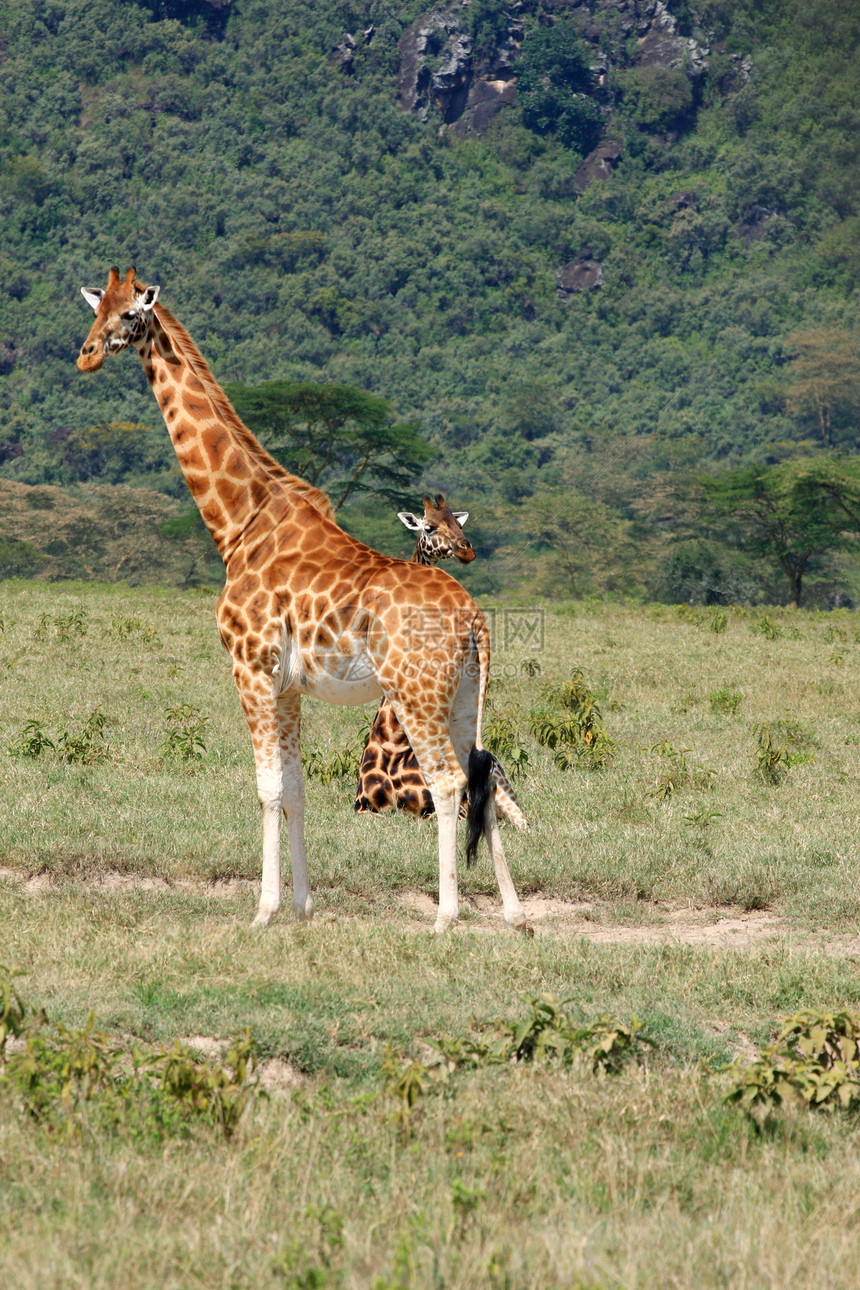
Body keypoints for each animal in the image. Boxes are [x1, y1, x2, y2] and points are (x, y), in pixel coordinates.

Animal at [353, 487, 528, 830]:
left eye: (457, 523)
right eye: (429, 527)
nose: (467, 550)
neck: (394, 742)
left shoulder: (450, 808)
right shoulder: (361, 807)